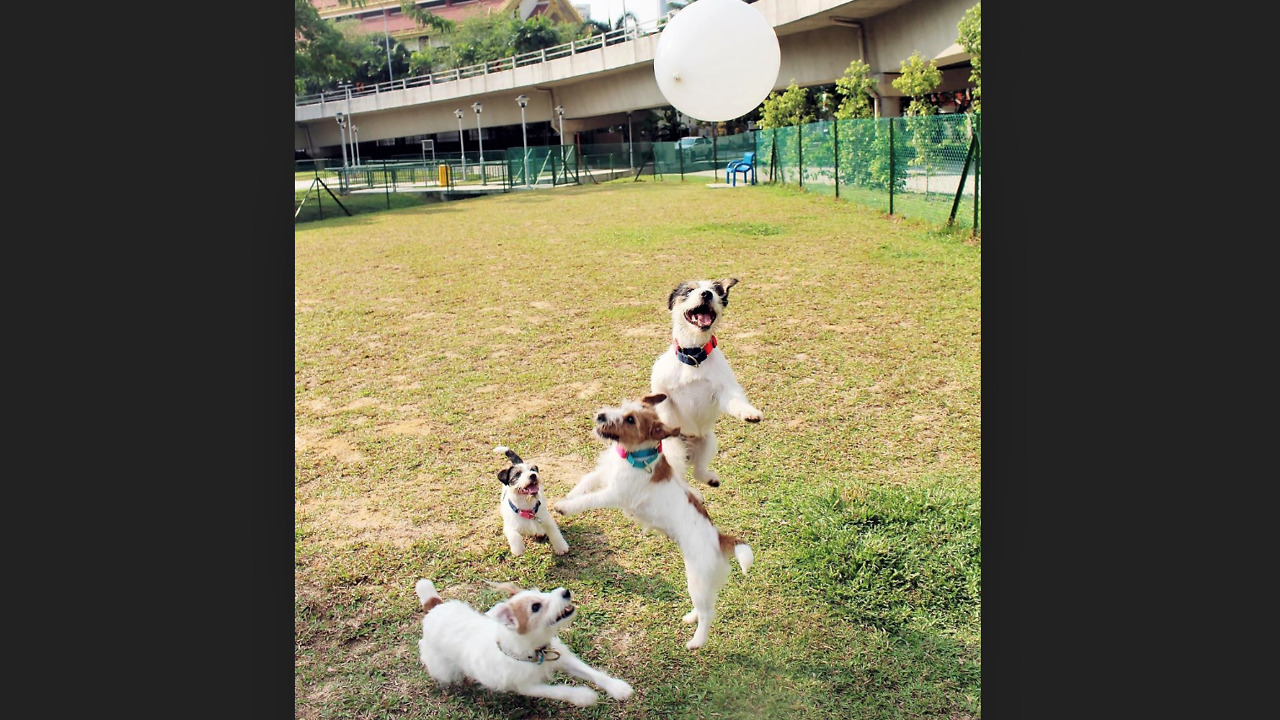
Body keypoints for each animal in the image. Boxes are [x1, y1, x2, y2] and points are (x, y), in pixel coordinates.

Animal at [417, 573, 632, 702]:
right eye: (535, 607)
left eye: (541, 592)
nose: (565, 591)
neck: (535, 651)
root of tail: (434, 608)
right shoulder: (527, 687)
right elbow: (558, 690)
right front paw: (582, 696)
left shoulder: (563, 658)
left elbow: (592, 672)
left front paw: (617, 687)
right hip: (441, 668)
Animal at [650, 278, 757, 484]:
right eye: (689, 290)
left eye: (716, 291)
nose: (707, 294)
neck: (693, 357)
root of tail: (689, 454)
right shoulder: (661, 388)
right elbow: (663, 407)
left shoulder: (725, 390)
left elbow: (737, 402)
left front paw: (750, 413)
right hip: (675, 452)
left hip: (708, 442)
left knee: (698, 472)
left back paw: (710, 479)